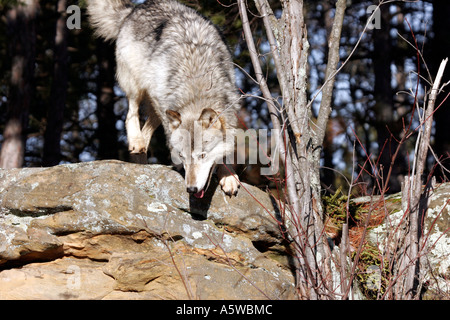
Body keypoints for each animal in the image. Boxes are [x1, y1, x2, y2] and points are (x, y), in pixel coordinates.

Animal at [86, 0, 241, 198]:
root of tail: (136, 8)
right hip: (138, 86)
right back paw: (136, 141)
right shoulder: (160, 100)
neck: (197, 90)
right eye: (182, 156)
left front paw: (228, 176)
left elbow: (225, 152)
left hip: (158, 106)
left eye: (202, 155)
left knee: (147, 130)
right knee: (131, 114)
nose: (191, 189)